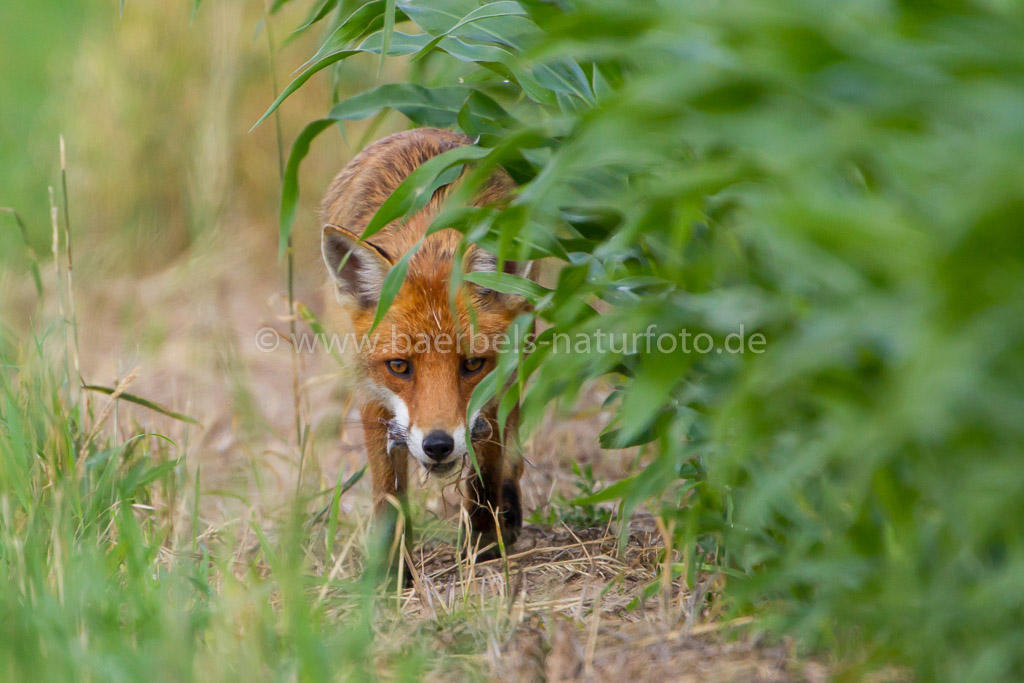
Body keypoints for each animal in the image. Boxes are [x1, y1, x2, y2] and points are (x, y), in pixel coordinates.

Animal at [319, 126, 528, 561]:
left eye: (472, 364)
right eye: (399, 366)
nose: (438, 446)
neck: (429, 239)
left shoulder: (495, 386)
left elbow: (487, 469)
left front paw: (484, 540)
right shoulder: (372, 395)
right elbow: (388, 495)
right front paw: (390, 567)